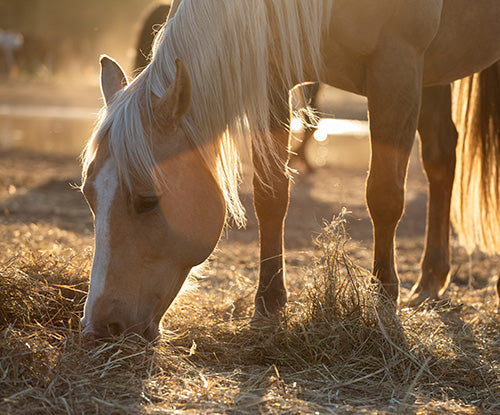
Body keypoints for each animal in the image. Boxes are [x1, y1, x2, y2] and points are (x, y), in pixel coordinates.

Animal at [80, 0, 500, 342]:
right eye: (89, 195)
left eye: (147, 200)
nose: (99, 328)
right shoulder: (273, 75)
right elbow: (271, 193)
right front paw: (268, 304)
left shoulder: (397, 67)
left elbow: (384, 195)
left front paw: (383, 300)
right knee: (441, 157)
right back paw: (430, 279)